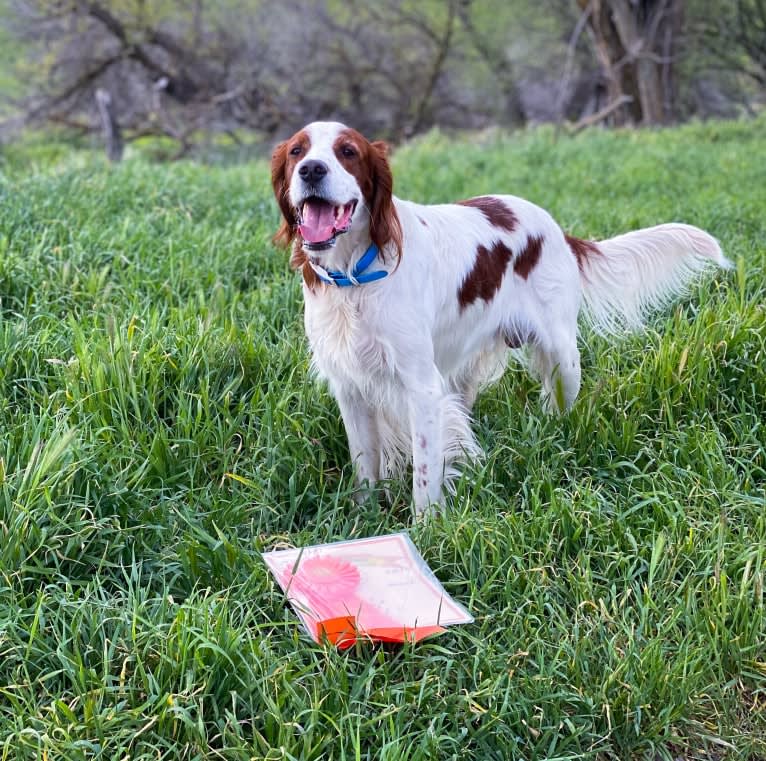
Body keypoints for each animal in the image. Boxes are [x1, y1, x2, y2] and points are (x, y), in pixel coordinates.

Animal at [270, 121, 732, 512]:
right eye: (297, 151)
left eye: (347, 151)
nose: (311, 170)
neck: (355, 277)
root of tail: (557, 228)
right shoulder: (351, 386)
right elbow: (365, 468)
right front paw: (362, 521)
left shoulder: (421, 386)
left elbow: (425, 475)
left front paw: (426, 528)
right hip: (464, 372)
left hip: (564, 359)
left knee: (560, 407)